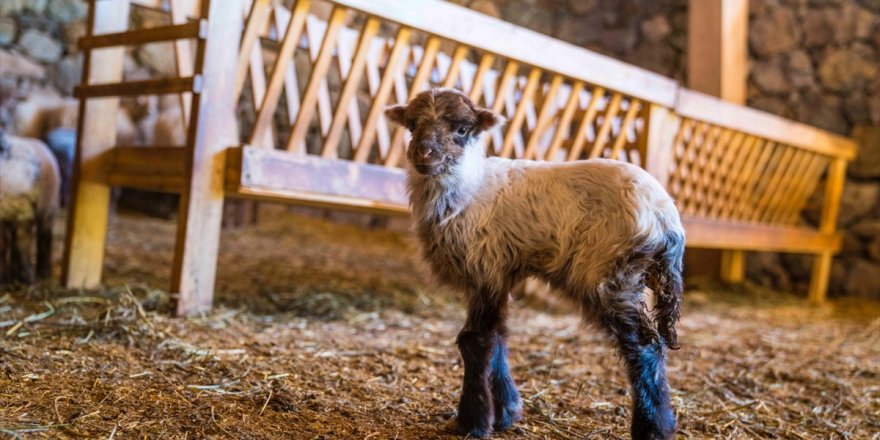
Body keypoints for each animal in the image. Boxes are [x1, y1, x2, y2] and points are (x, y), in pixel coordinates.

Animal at [0, 131, 61, 284]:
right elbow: (3, 245)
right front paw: (4, 278)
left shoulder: (25, 211)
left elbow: (23, 244)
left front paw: (27, 277)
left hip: (48, 208)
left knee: (44, 239)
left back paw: (43, 272)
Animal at [386, 87, 688, 438]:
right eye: (412, 125)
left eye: (461, 129)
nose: (424, 154)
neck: (468, 189)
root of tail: (667, 219)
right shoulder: (499, 272)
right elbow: (498, 337)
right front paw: (506, 412)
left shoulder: (484, 267)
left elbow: (474, 341)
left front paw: (472, 421)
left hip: (610, 273)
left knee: (644, 346)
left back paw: (653, 427)